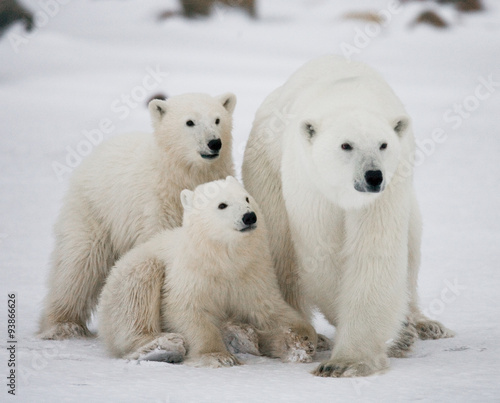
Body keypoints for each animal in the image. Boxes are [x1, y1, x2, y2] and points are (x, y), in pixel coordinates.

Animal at [241, 56, 454, 378]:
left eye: (383, 144)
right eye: (346, 145)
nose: (373, 176)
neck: (350, 95)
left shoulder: (388, 191)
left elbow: (374, 253)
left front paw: (350, 360)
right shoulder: (311, 184)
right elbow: (322, 254)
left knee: (412, 247)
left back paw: (424, 324)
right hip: (266, 171)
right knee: (281, 250)